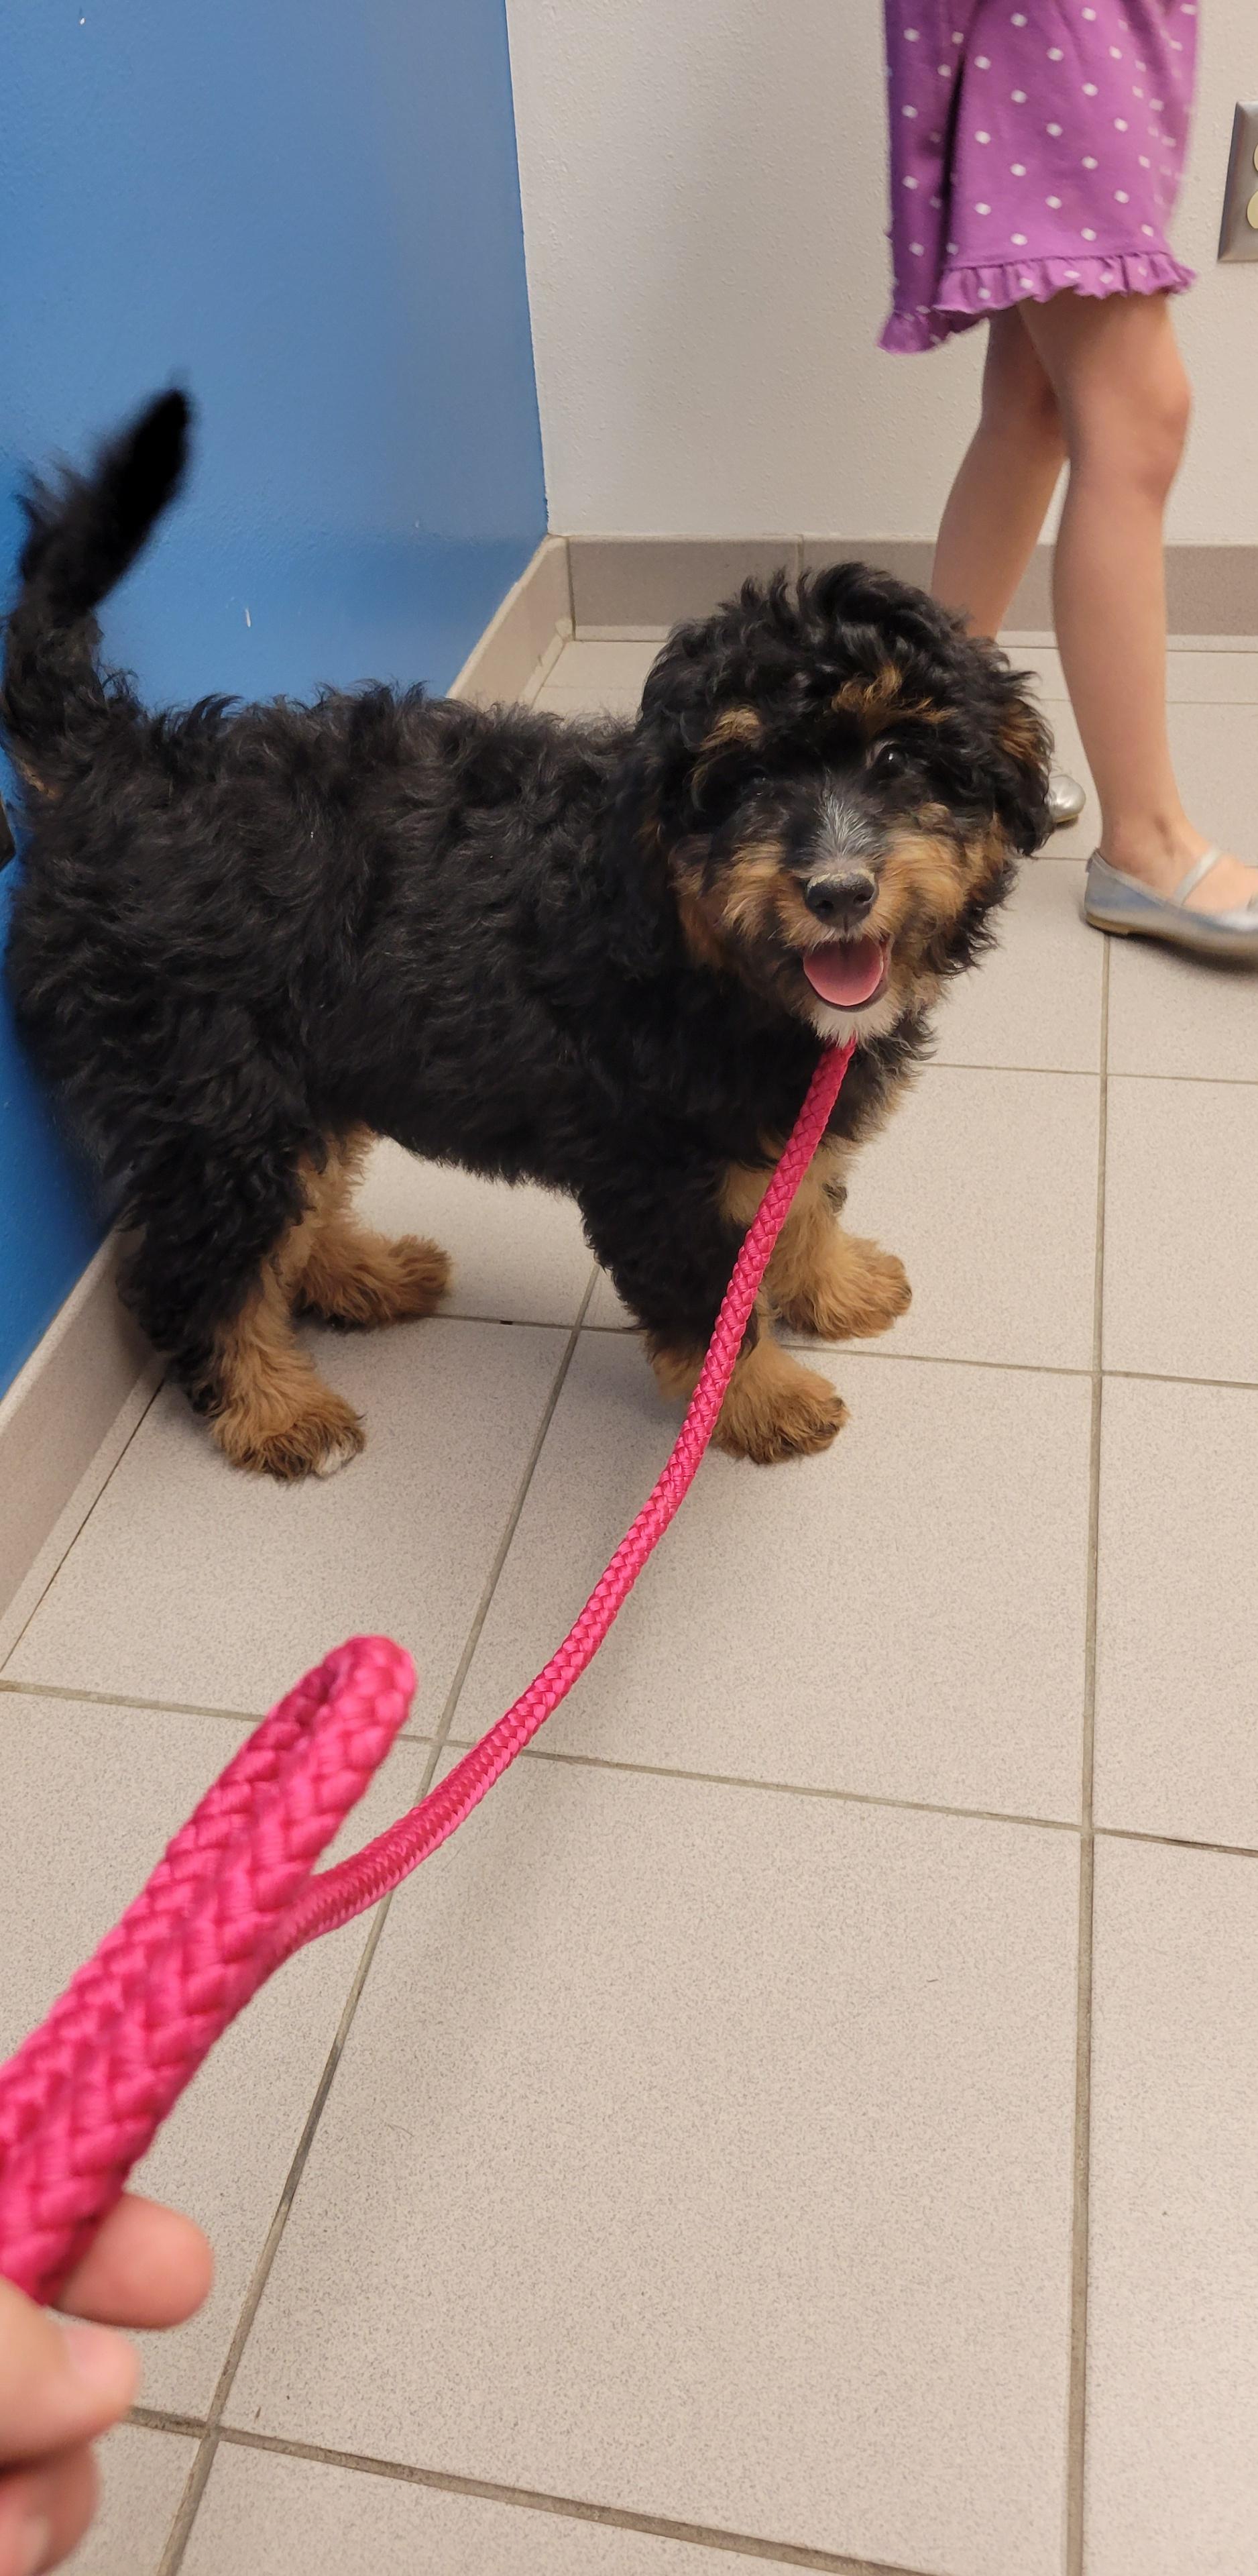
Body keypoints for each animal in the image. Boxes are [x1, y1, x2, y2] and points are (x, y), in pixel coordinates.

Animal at [1, 393, 1050, 1479]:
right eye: (746, 780)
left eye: (897, 758)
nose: (839, 890)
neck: (700, 954)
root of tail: (113, 762)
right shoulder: (653, 1172)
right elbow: (707, 1304)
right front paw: (762, 1399)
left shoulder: (774, 1116)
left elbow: (797, 1201)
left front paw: (835, 1287)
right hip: (216, 1093)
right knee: (196, 1269)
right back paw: (274, 1409)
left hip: (300, 1068)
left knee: (297, 1203)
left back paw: (362, 1273)